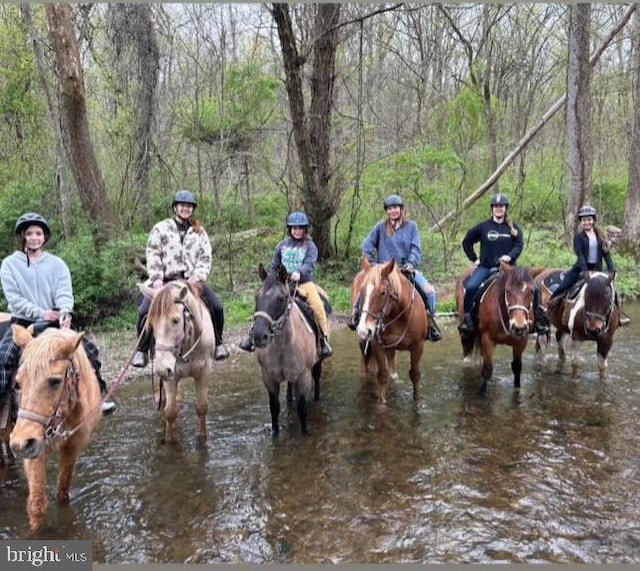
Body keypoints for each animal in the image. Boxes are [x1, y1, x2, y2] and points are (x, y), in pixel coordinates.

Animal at [8, 326, 103, 536]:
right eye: (18, 382)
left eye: (55, 381)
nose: (19, 444)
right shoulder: (35, 454)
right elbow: (37, 505)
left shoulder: (72, 448)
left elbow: (62, 492)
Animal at [138, 280, 215, 444]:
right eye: (151, 324)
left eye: (176, 320)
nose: (161, 370)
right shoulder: (170, 377)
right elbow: (170, 412)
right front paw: (169, 442)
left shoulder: (205, 372)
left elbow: (202, 407)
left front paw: (202, 439)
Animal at [249, 264, 322, 438]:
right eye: (256, 297)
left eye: (281, 299)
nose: (259, 337)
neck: (282, 347)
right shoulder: (268, 377)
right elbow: (274, 408)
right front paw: (275, 434)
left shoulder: (304, 376)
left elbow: (302, 409)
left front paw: (305, 433)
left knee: (317, 376)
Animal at [452, 262, 536, 396]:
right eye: (507, 291)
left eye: (532, 291)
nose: (519, 327)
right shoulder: (488, 340)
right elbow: (487, 370)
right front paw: (482, 394)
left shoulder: (521, 342)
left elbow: (517, 367)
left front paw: (517, 391)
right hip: (465, 332)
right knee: (467, 351)